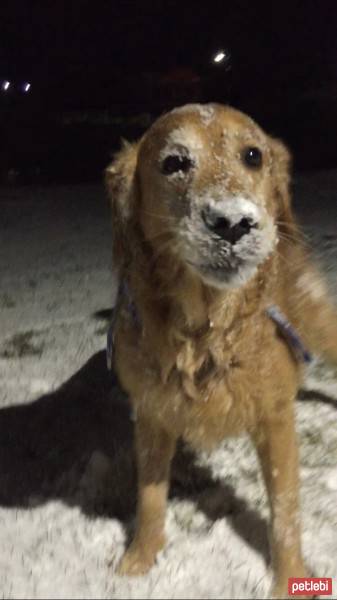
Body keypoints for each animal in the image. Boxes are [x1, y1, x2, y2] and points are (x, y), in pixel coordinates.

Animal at [105, 103, 336, 596]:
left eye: (252, 155)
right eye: (174, 162)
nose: (233, 222)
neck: (205, 332)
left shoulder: (276, 419)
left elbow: (285, 515)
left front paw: (288, 580)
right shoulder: (151, 414)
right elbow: (149, 498)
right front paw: (138, 564)